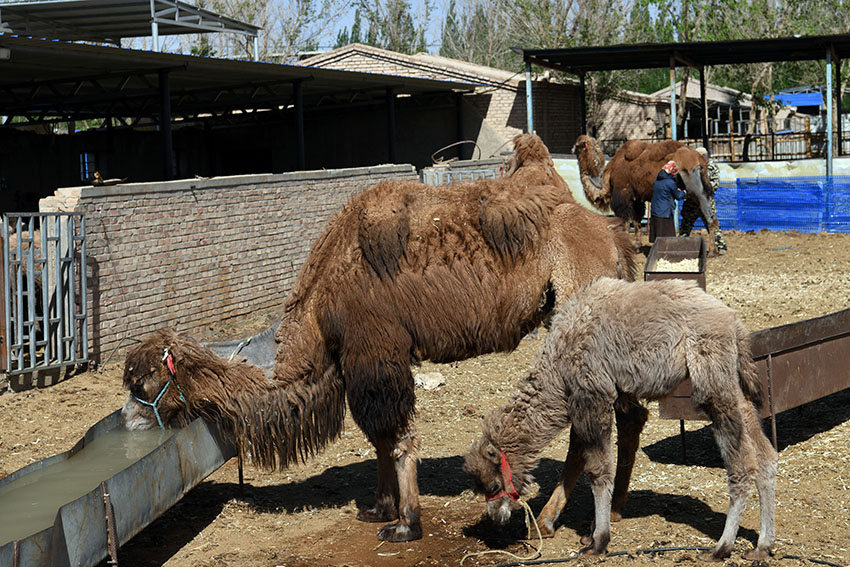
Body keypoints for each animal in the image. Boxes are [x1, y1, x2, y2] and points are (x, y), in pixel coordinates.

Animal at [119, 134, 636, 544]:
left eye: (140, 383)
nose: (127, 420)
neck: (321, 303)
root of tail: (612, 236)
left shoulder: (375, 349)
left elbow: (395, 435)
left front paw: (405, 524)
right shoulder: (359, 360)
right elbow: (378, 439)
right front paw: (378, 509)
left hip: (575, 307)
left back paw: (551, 519)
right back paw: (606, 510)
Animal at [464, 278, 776, 560]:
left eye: (493, 486)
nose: (495, 516)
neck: (558, 367)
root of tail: (734, 323)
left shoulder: (592, 393)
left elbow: (597, 469)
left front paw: (598, 542)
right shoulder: (602, 398)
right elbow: (579, 457)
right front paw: (562, 527)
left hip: (712, 379)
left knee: (741, 465)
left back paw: (721, 548)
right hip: (734, 384)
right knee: (765, 455)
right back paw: (762, 547)